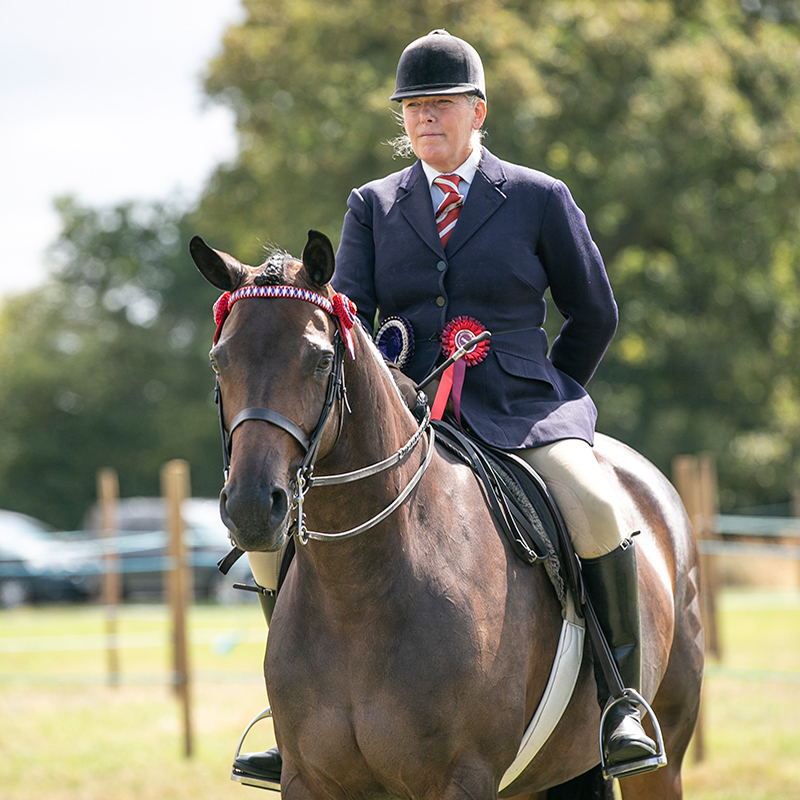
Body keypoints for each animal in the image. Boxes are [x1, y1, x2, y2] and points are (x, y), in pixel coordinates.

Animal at [191, 227, 704, 800]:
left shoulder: (463, 776)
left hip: (662, 757)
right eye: (219, 360)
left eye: (320, 360)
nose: (252, 506)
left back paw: (626, 727)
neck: (358, 590)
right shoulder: (308, 779)